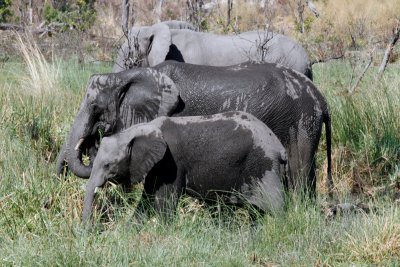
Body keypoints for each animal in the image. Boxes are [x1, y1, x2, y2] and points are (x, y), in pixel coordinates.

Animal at [56, 60, 332, 195]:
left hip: (301, 120)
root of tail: (321, 99)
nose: (92, 139)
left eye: (94, 106)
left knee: (298, 170)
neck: (128, 75)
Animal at [82, 112, 288, 223]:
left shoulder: (171, 162)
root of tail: (280, 147)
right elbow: (146, 200)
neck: (141, 128)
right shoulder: (157, 165)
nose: (88, 229)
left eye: (108, 165)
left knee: (275, 208)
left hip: (265, 168)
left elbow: (164, 202)